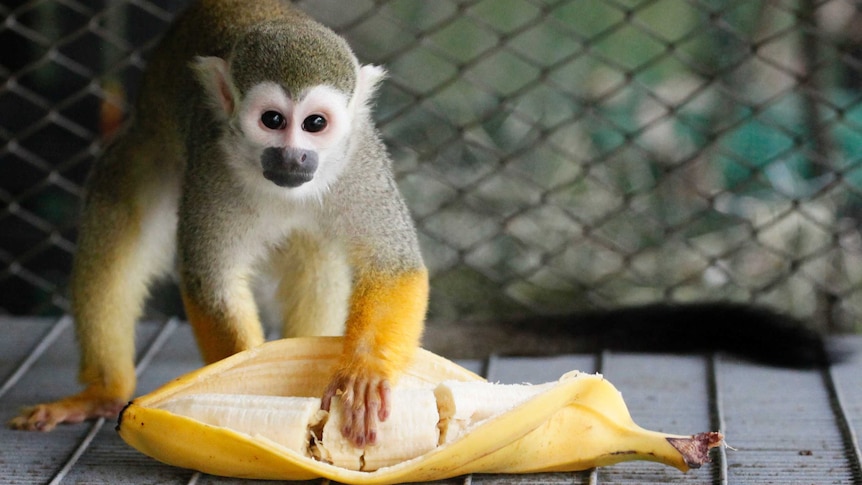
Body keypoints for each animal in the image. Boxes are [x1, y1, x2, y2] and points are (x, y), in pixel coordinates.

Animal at [8, 0, 426, 446]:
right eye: (273, 120)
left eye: (315, 124)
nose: (293, 157)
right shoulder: (212, 161)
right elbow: (211, 281)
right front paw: (238, 384)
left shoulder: (359, 158)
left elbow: (393, 266)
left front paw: (365, 372)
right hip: (150, 153)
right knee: (114, 231)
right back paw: (103, 392)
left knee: (315, 257)